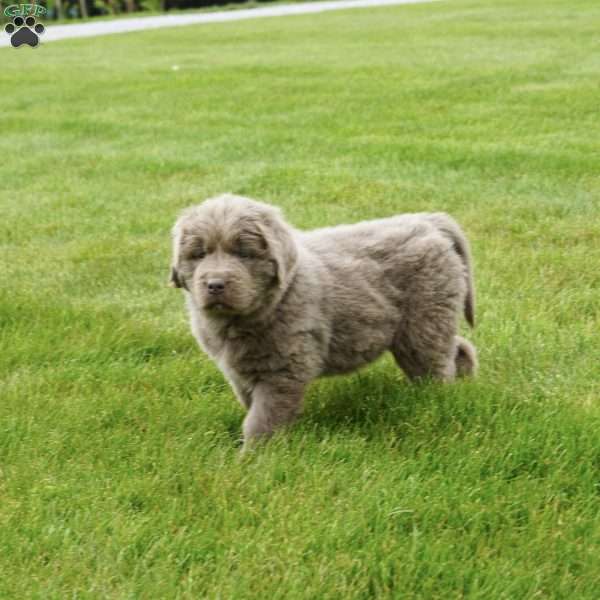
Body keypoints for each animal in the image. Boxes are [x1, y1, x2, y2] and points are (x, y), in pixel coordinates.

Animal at [170, 195, 478, 448]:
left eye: (243, 253)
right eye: (199, 254)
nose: (215, 284)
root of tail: (427, 221)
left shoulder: (282, 371)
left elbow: (263, 418)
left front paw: (253, 459)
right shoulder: (240, 370)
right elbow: (250, 404)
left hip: (423, 321)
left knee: (434, 364)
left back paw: (436, 402)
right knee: (458, 347)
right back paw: (464, 382)